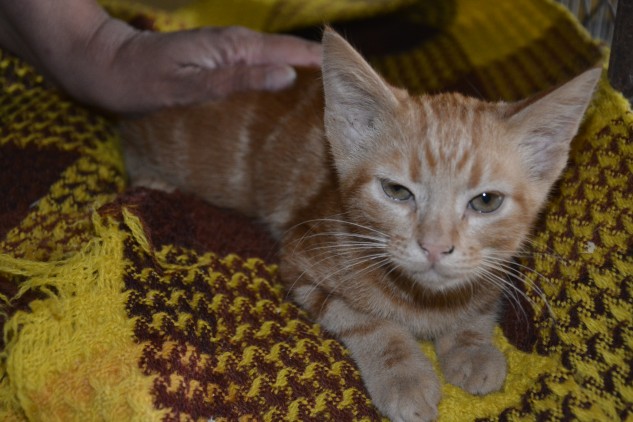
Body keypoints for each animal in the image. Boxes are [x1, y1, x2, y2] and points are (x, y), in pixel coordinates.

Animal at [121, 28, 600, 422]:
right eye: (397, 192)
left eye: (486, 201)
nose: (434, 247)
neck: (422, 302)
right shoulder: (300, 261)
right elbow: (370, 322)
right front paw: (404, 376)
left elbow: (479, 305)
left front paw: (473, 346)